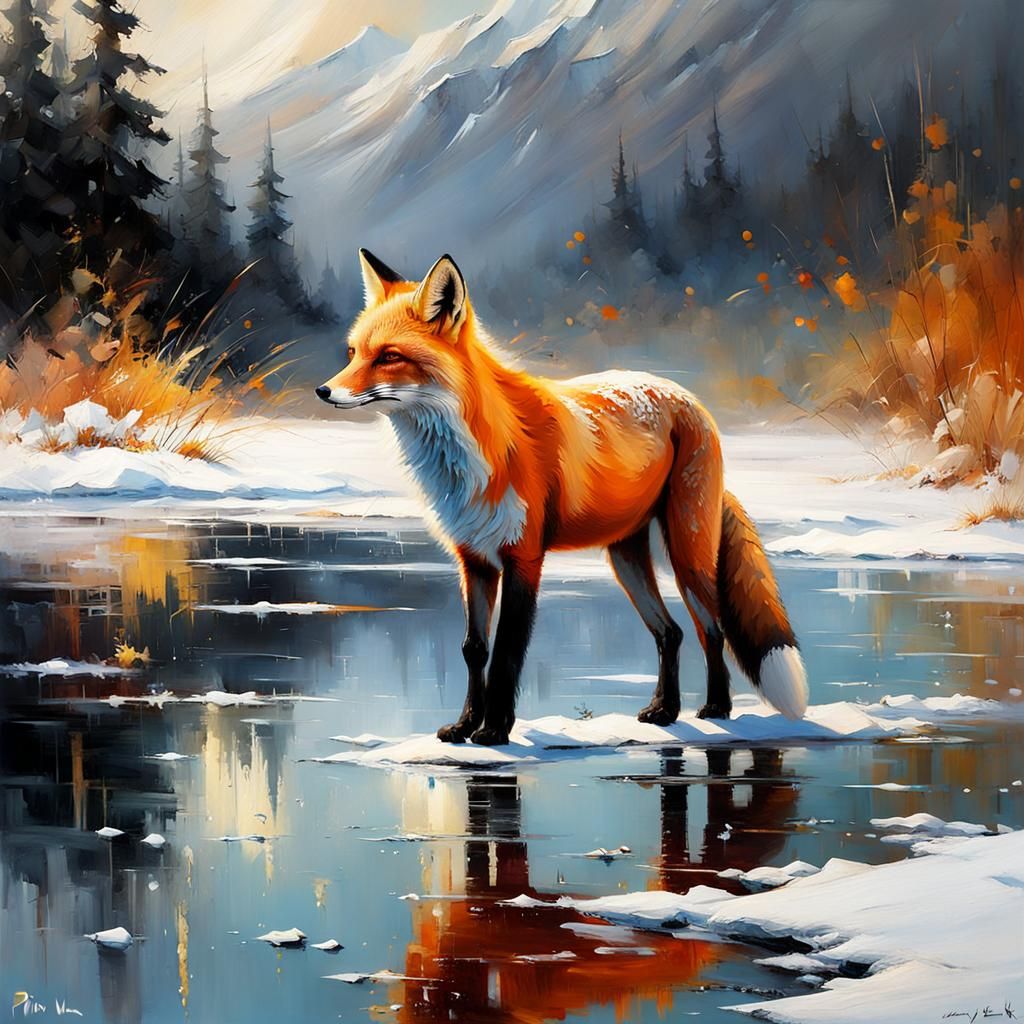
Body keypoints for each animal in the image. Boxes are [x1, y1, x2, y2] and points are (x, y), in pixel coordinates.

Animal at [315, 249, 808, 746]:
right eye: (354, 353)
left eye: (389, 357)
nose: (323, 390)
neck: (470, 458)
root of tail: (686, 395)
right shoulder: (473, 559)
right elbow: (475, 649)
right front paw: (465, 725)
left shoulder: (524, 556)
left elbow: (507, 651)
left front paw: (495, 730)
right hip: (625, 557)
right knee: (670, 633)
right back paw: (665, 710)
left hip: (687, 553)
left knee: (712, 629)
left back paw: (717, 708)